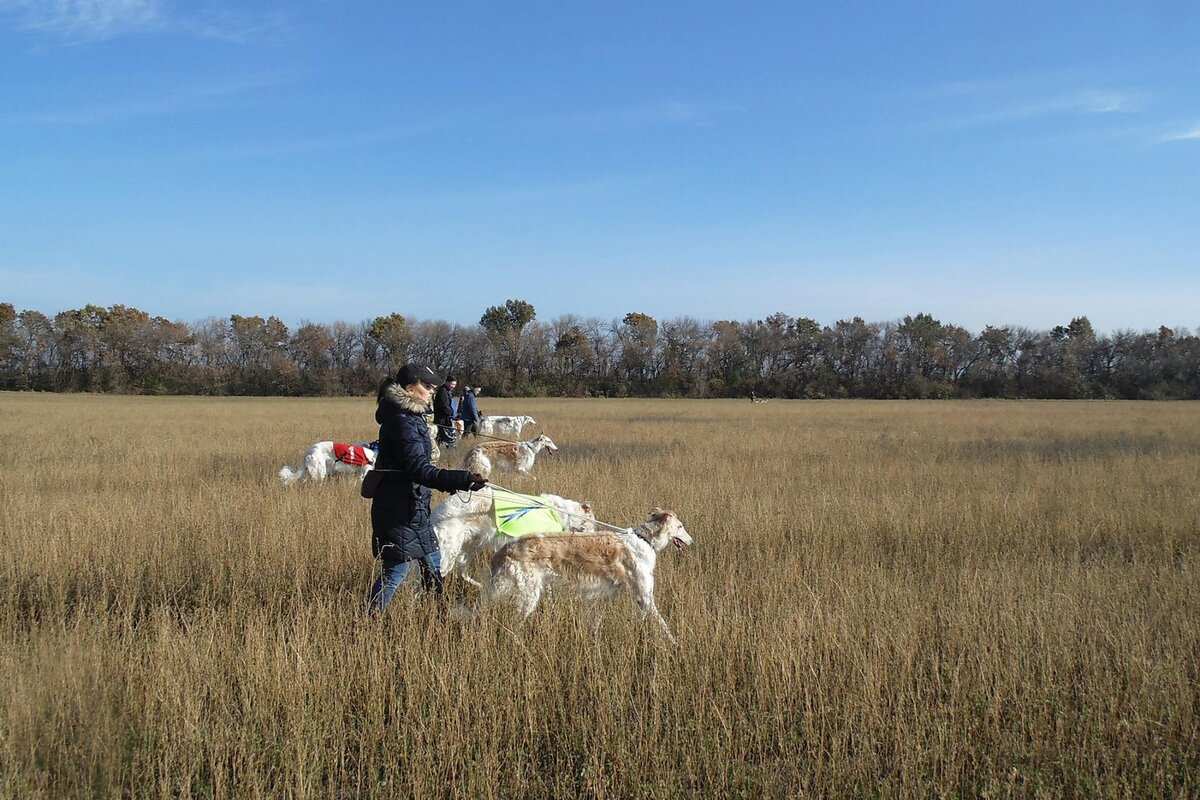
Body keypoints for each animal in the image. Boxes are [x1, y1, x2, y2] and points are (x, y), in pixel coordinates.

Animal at [472, 513, 691, 642]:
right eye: (680, 527)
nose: (692, 541)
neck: (643, 540)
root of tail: (506, 548)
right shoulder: (644, 595)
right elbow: (663, 624)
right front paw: (675, 644)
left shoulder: (608, 596)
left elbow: (596, 622)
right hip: (527, 595)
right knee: (512, 627)